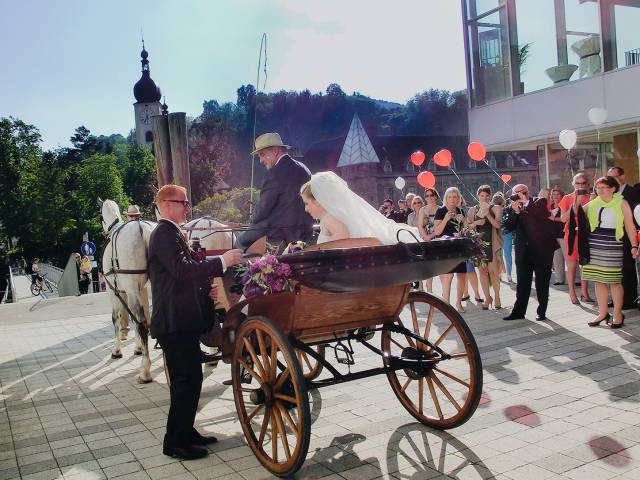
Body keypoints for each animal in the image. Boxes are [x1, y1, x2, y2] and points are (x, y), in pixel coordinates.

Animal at [101, 198, 159, 382]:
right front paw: (138, 348)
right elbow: (133, 320)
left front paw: (117, 351)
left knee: (142, 323)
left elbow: (116, 319)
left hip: (130, 290)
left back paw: (145, 370)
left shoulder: (114, 291)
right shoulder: (140, 291)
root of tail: (143, 229)